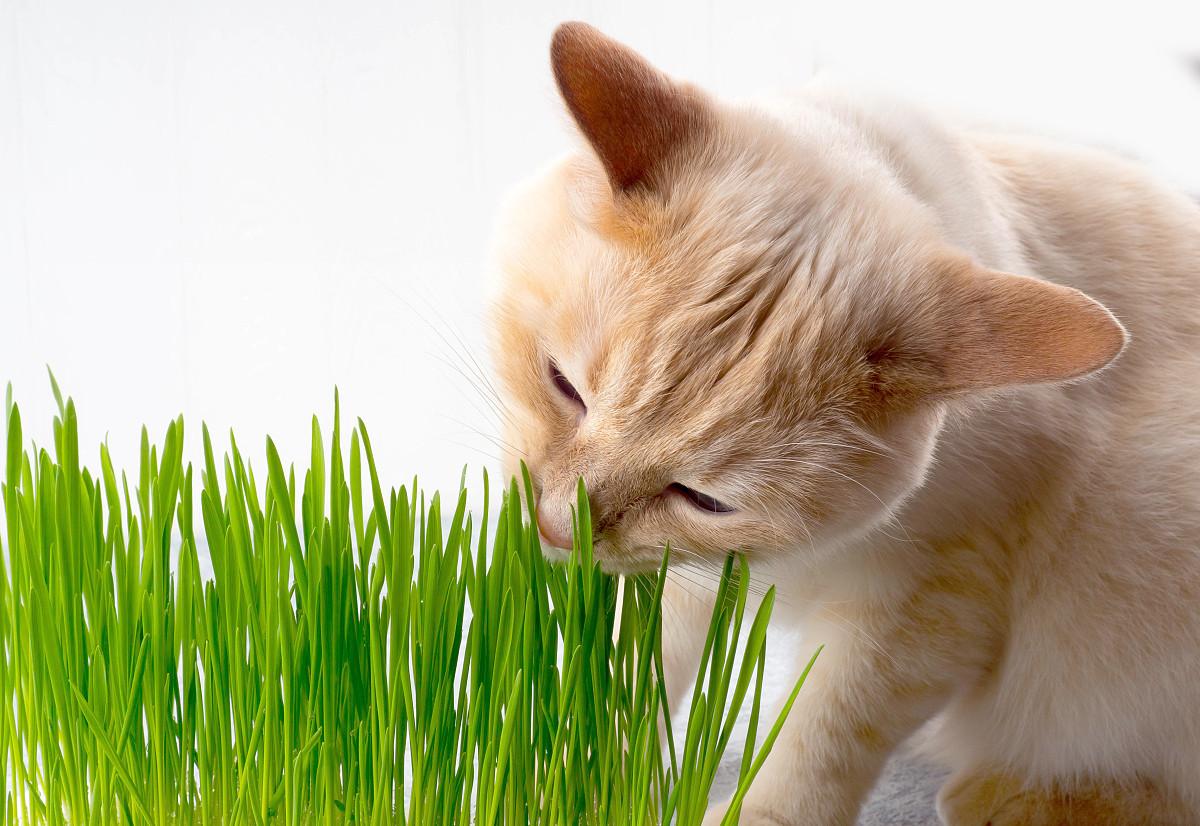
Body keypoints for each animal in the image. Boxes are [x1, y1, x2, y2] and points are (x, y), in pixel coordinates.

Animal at [484, 21, 1200, 826]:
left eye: (703, 499)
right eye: (564, 387)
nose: (557, 528)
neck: (796, 561)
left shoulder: (929, 600)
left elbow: (818, 741)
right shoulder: (686, 580)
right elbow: (627, 683)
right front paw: (575, 776)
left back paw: (1011, 796)